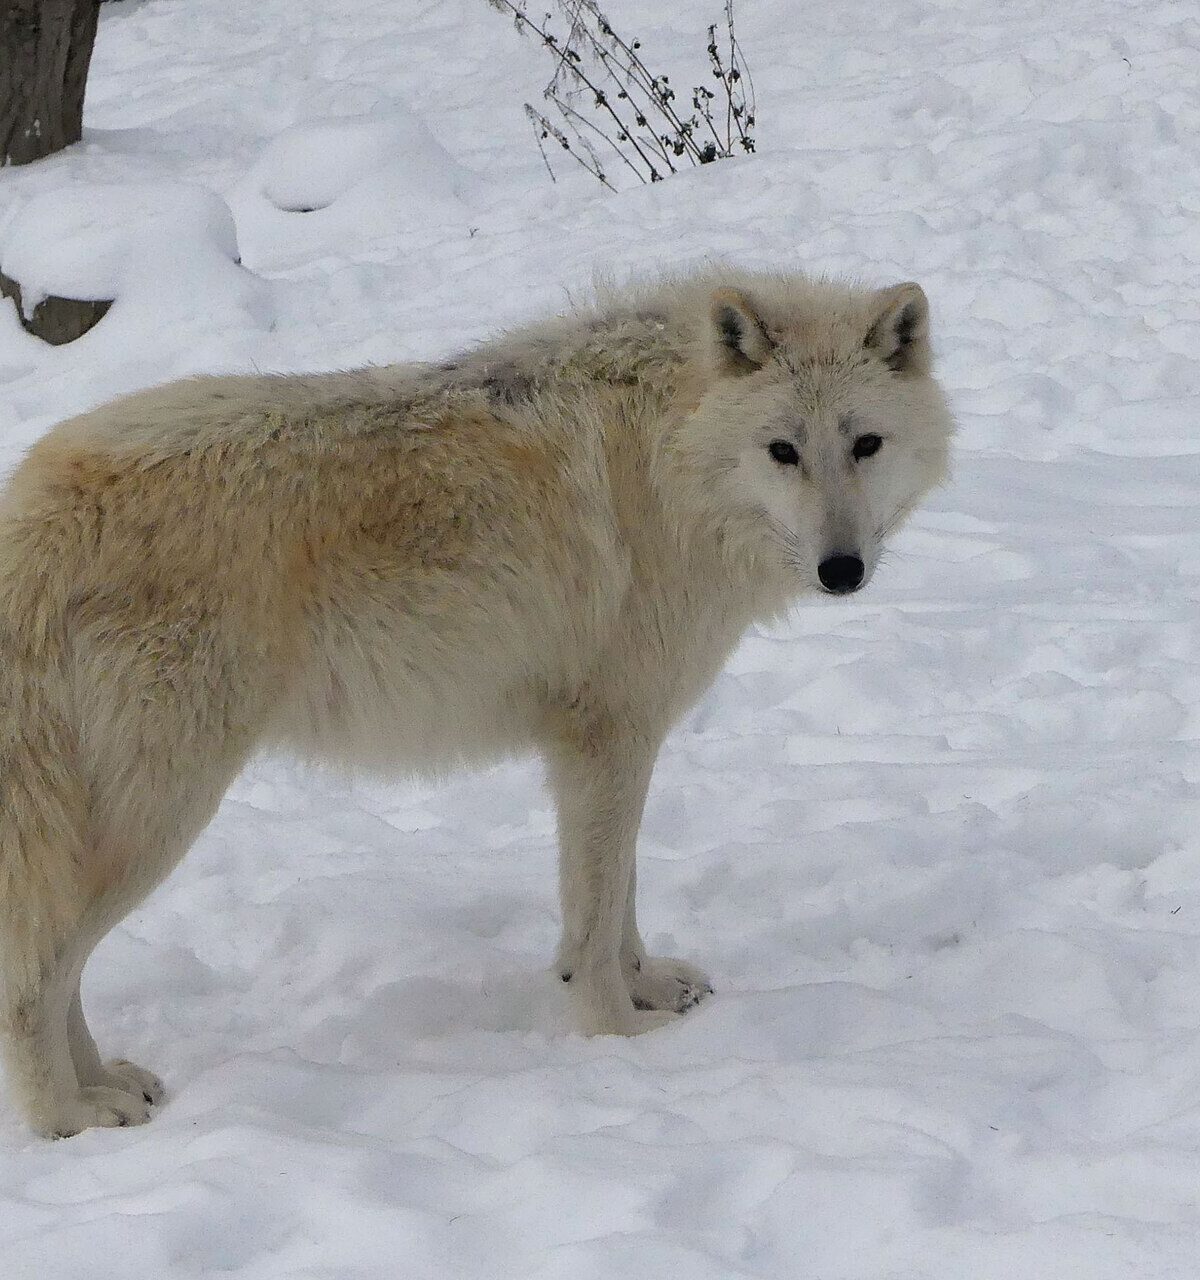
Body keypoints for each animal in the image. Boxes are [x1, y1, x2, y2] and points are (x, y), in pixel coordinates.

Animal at [0, 268, 952, 1136]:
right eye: (782, 450)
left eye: (865, 444)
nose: (842, 570)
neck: (670, 455)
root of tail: (32, 518)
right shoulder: (609, 737)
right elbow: (597, 916)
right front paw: (618, 1036)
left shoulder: (612, 747)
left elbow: (617, 900)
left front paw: (646, 986)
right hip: (158, 815)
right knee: (35, 976)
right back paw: (70, 1117)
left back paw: (110, 1084)